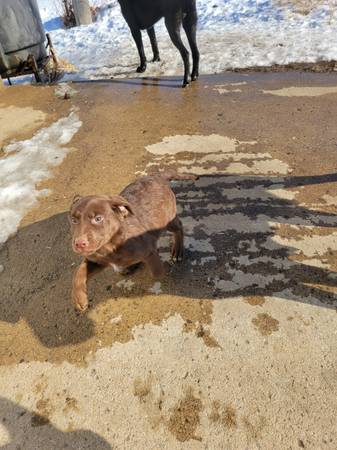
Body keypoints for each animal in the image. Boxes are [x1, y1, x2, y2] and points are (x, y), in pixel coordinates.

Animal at [69, 173, 194, 312]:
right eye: (74, 220)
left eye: (98, 218)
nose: (79, 244)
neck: (109, 247)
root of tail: (156, 176)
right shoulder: (96, 260)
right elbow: (78, 272)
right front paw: (79, 299)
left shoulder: (148, 250)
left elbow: (157, 272)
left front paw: (162, 268)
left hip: (167, 219)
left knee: (179, 226)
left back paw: (177, 251)